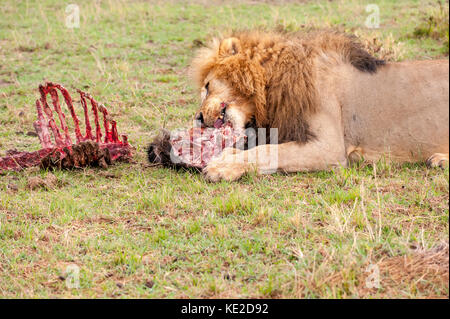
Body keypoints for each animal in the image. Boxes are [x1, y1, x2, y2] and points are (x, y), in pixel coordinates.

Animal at [191, 31, 450, 182]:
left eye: (207, 86)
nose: (199, 118)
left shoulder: (330, 147)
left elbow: (269, 152)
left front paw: (222, 166)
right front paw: (228, 156)